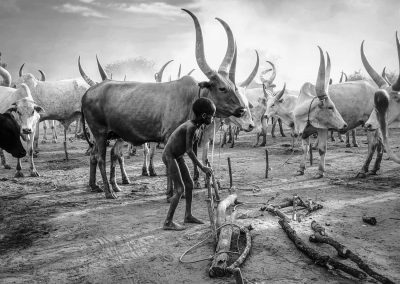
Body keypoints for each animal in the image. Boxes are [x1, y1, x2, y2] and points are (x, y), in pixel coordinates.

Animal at [79, 10, 245, 199]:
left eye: (234, 87)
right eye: (222, 88)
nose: (241, 109)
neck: (191, 99)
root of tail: (88, 92)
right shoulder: (169, 138)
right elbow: (170, 166)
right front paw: (171, 192)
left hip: (106, 135)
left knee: (95, 156)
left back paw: (95, 186)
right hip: (99, 134)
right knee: (100, 158)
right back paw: (109, 192)